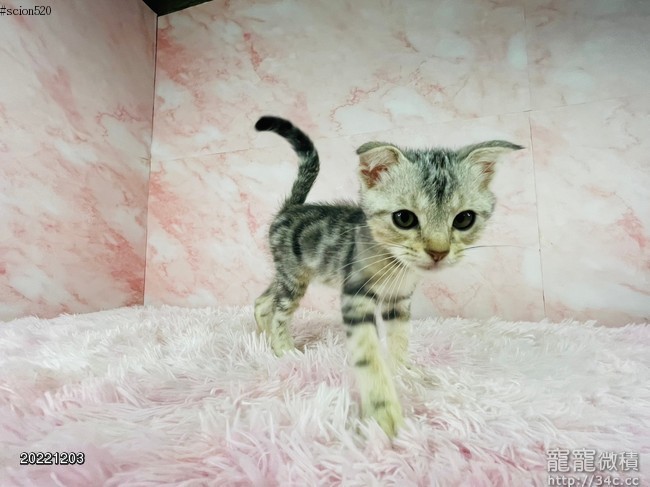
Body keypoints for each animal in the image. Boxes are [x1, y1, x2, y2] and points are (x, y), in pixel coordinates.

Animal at [253, 115, 522, 437]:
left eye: (464, 219)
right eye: (404, 218)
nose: (438, 252)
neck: (398, 264)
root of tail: (291, 208)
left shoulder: (399, 300)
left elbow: (400, 337)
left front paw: (403, 369)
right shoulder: (356, 297)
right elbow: (368, 355)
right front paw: (383, 413)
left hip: (288, 274)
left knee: (262, 301)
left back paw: (263, 336)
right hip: (294, 277)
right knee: (280, 310)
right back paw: (283, 348)